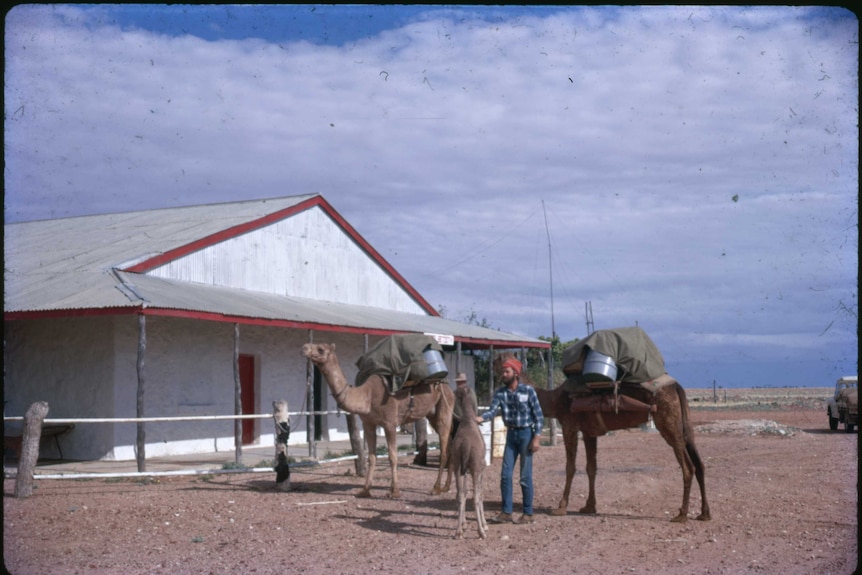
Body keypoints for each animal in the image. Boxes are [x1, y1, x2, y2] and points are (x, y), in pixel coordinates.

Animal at [300, 342, 456, 500]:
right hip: (433, 415)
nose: (304, 348)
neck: (367, 396)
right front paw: (364, 490)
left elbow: (392, 457)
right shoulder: (368, 424)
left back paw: (436, 488)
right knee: (449, 445)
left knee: (443, 450)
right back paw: (446, 486)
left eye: (320, 349)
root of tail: (449, 388)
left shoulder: (390, 423)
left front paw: (394, 491)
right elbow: (371, 457)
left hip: (445, 407)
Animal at [448, 388, 490, 540]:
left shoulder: (463, 469)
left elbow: (464, 493)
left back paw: (458, 532)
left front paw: (464, 524)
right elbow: (480, 494)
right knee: (476, 496)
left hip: (457, 466)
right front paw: (485, 524)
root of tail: (466, 445)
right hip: (476, 468)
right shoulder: (481, 469)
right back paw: (481, 532)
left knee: (460, 495)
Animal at [496, 354, 712, 524]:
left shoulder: (569, 426)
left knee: (687, 466)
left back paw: (681, 515)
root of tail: (677, 387)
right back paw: (704, 514)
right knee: (699, 463)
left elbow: (570, 467)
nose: (497, 367)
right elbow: (591, 468)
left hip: (668, 421)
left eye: (501, 361)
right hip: (684, 422)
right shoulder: (589, 432)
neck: (555, 400)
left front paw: (560, 507)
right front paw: (589, 506)